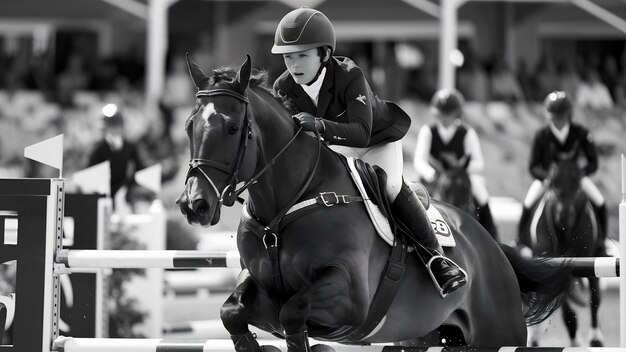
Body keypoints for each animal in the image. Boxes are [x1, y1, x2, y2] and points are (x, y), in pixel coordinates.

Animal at [174, 55, 572, 352]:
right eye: (189, 126)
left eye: (231, 128)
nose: (194, 205)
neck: (284, 207)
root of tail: (493, 248)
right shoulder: (259, 286)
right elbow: (232, 310)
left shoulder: (349, 299)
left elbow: (292, 311)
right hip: (423, 336)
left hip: (497, 330)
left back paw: (448, 272)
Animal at [516, 160, 604, 346]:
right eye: (552, 183)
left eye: (577, 182)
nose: (563, 216)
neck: (564, 232)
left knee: (595, 298)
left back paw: (596, 339)